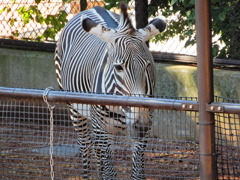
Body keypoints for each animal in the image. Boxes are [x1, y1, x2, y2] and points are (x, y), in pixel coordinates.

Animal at [55, 2, 166, 179]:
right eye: (118, 67)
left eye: (148, 65)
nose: (141, 125)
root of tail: (92, 8)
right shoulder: (102, 129)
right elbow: (110, 173)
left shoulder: (143, 131)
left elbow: (137, 173)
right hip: (75, 110)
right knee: (85, 145)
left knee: (96, 149)